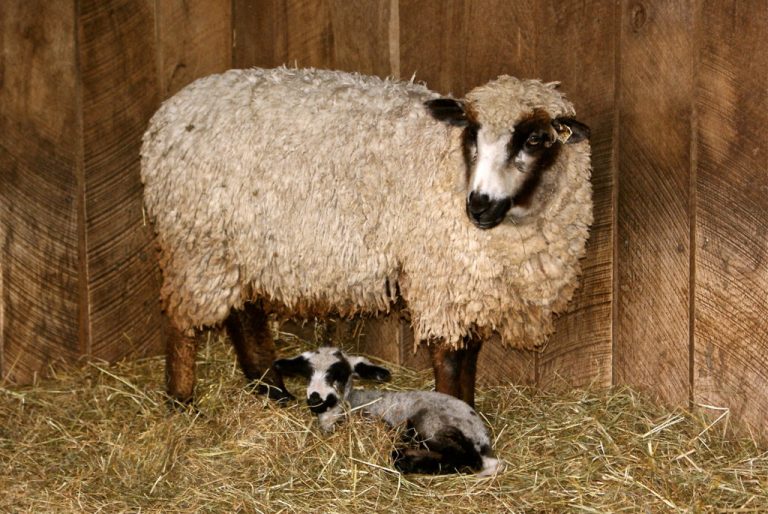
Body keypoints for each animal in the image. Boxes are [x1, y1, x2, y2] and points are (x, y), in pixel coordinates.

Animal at [140, 66, 592, 406]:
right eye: (471, 134)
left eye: (535, 139)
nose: (478, 204)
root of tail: (167, 113)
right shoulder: (440, 279)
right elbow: (451, 359)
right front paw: (458, 420)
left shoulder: (472, 287)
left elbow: (470, 355)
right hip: (194, 243)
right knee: (182, 321)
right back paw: (182, 400)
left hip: (237, 246)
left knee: (243, 313)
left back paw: (272, 390)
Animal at [274, 347, 505, 476]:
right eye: (307, 374)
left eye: (338, 374)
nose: (315, 398)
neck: (349, 404)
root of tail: (483, 438)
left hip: (431, 424)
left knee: (463, 459)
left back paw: (407, 461)